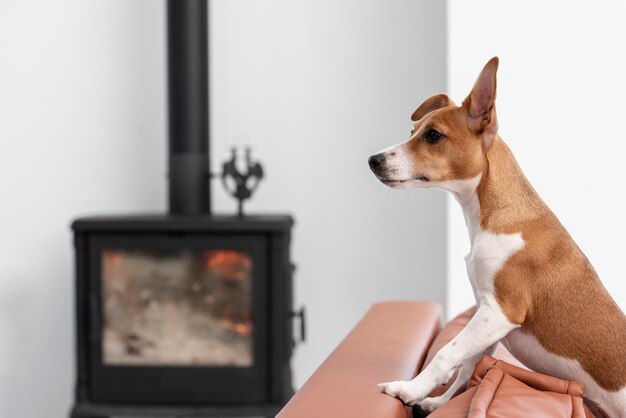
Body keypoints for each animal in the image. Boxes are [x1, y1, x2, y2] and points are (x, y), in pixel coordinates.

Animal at [366, 58, 624, 414]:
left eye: (433, 136)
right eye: (412, 132)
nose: (372, 160)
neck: (488, 217)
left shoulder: (500, 311)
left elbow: (446, 353)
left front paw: (408, 388)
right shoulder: (485, 318)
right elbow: (466, 368)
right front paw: (437, 401)